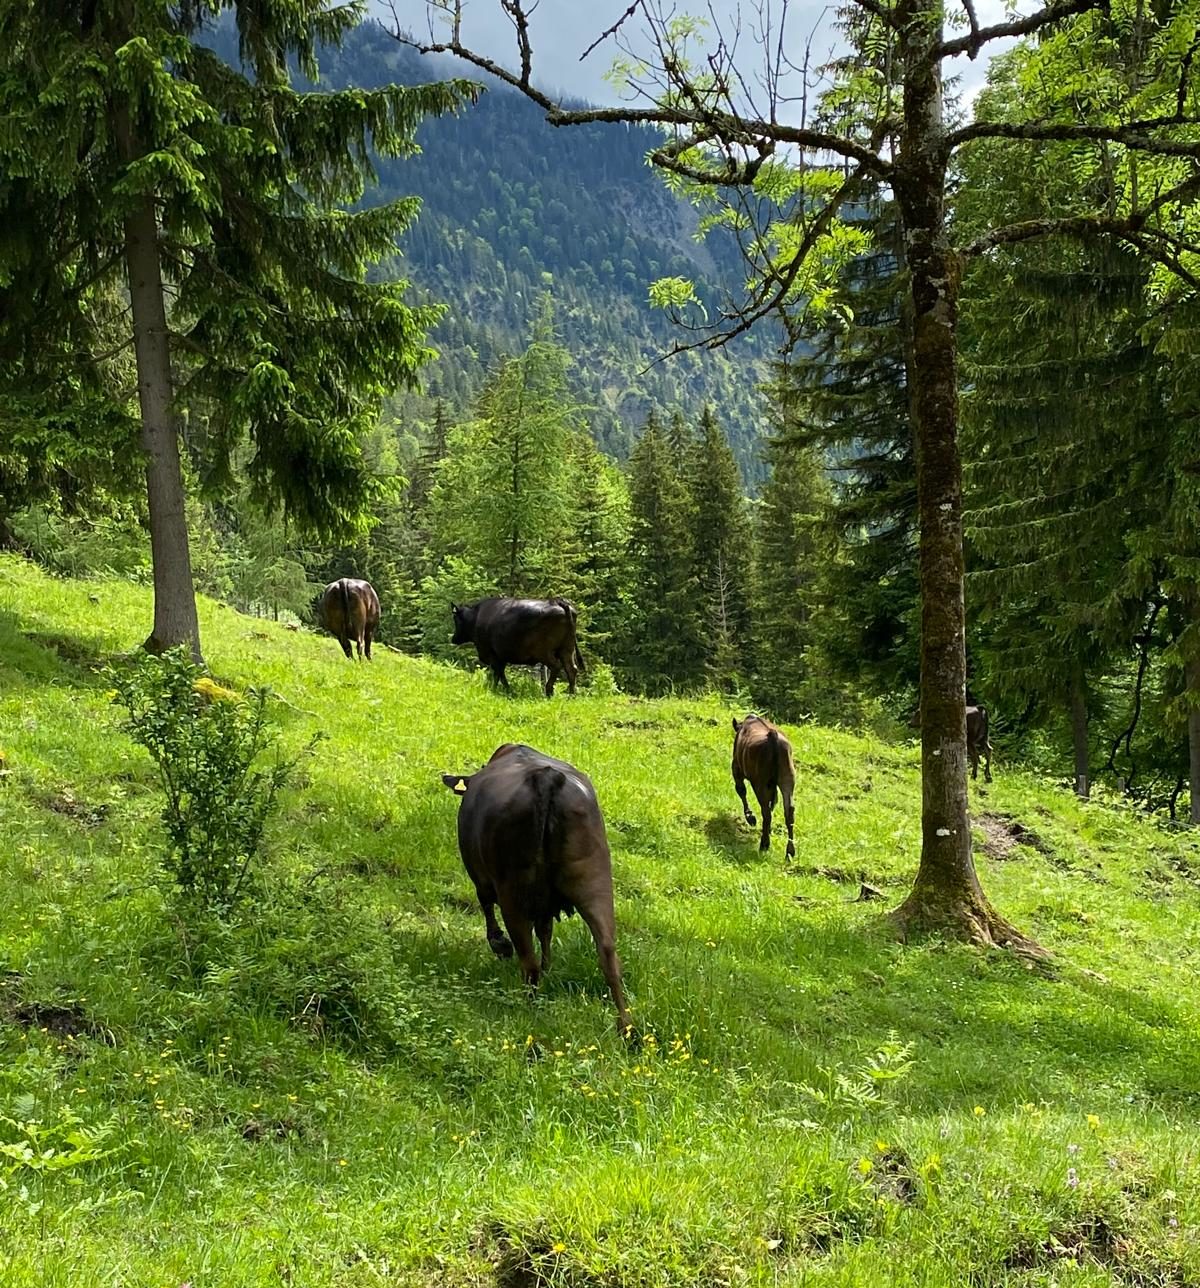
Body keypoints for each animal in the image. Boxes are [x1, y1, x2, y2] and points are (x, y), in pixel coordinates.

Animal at [437, 747, 628, 1035]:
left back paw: (529, 1010)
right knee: (608, 956)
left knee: (528, 961)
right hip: (596, 884)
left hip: (513, 893)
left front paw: (501, 945)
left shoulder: (481, 878)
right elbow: (546, 930)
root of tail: (546, 779)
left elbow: (487, 908)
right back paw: (627, 1028)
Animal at [450, 597, 587, 700]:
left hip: (544, 652)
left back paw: (549, 692)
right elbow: (500, 673)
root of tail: (557, 601)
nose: (453, 638)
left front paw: (495, 689)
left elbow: (497, 674)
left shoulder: (492, 654)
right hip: (567, 649)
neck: (476, 617)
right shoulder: (501, 657)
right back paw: (571, 695)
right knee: (571, 669)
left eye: (455, 619)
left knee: (556, 666)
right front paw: (507, 690)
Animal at [731, 710, 798, 860]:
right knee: (789, 811)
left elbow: (741, 790)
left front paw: (750, 817)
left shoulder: (736, 767)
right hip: (787, 779)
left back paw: (764, 844)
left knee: (766, 812)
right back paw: (790, 851)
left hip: (759, 783)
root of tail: (772, 735)